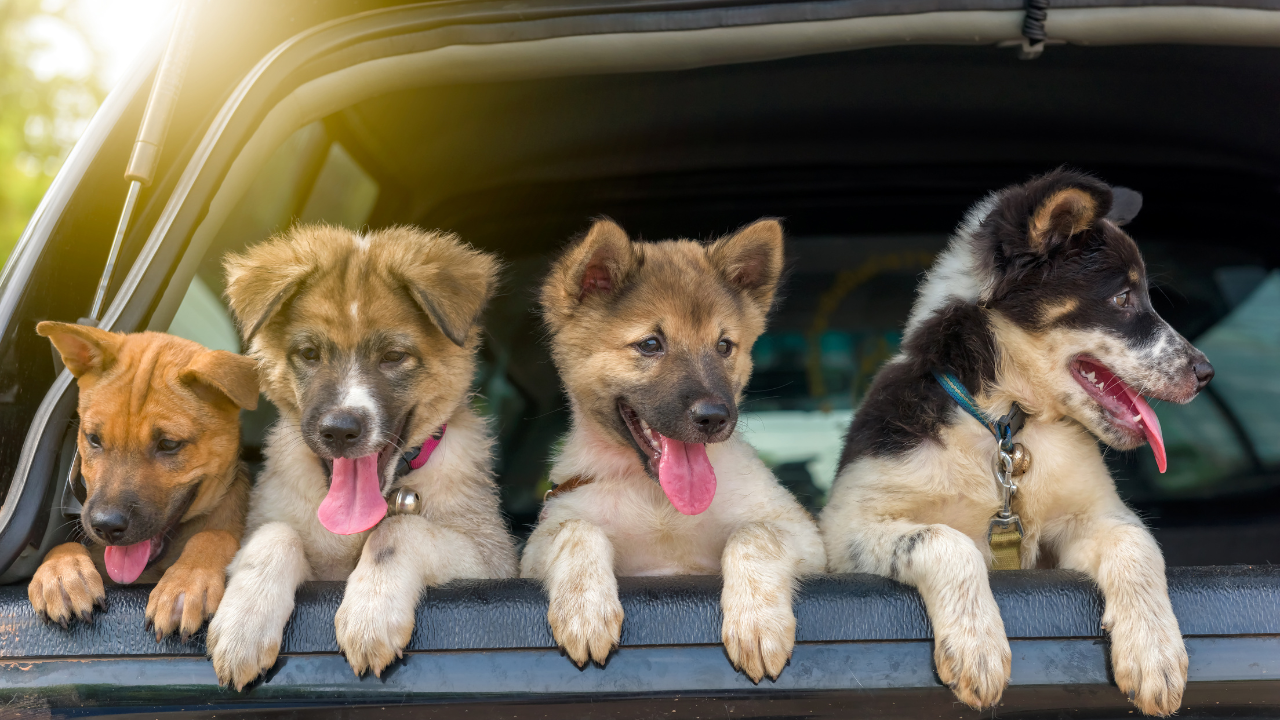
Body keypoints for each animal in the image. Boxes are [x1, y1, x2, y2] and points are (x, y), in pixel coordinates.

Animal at [28, 322, 257, 635]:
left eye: (169, 444)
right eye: (94, 439)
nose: (106, 526)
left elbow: (215, 534)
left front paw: (185, 582)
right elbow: (62, 546)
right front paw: (62, 572)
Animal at [207, 224, 517, 691]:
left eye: (393, 356)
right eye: (310, 354)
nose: (339, 430)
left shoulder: (491, 560)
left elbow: (398, 530)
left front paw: (370, 615)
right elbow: (276, 534)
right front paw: (243, 625)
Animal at [522, 217, 829, 676]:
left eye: (724, 346)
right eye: (651, 344)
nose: (715, 418)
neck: (659, 501)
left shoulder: (802, 532)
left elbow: (755, 533)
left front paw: (757, 620)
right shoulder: (538, 543)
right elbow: (576, 530)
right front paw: (585, 608)